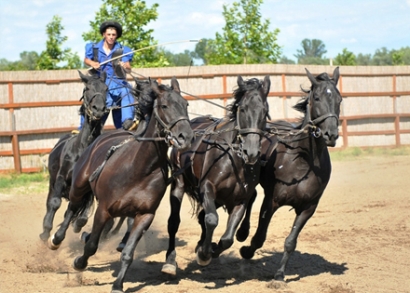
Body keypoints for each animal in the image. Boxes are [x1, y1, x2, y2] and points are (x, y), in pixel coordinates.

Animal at [38, 69, 107, 241]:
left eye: (106, 89)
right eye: (87, 88)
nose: (98, 109)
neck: (83, 150)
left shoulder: (86, 189)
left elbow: (76, 211)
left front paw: (63, 233)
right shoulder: (61, 178)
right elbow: (55, 203)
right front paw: (46, 232)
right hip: (52, 182)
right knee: (50, 202)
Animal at [49, 76, 194, 290]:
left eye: (186, 105)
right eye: (165, 106)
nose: (186, 137)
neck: (139, 168)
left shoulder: (144, 215)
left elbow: (128, 253)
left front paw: (118, 285)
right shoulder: (103, 209)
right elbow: (91, 245)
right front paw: (79, 262)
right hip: (78, 187)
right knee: (70, 210)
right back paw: (56, 239)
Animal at [162, 74, 270, 274]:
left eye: (265, 111)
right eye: (242, 108)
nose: (251, 151)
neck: (233, 159)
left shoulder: (240, 199)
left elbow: (227, 238)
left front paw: (210, 249)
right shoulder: (207, 188)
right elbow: (211, 219)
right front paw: (204, 255)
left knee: (201, 217)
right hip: (179, 183)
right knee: (174, 223)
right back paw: (170, 262)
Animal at [235, 66, 342, 280]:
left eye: (339, 99)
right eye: (317, 97)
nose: (331, 134)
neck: (303, 162)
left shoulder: (308, 208)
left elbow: (291, 242)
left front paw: (280, 275)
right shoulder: (272, 201)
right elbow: (260, 237)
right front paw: (246, 251)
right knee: (251, 196)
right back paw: (242, 233)